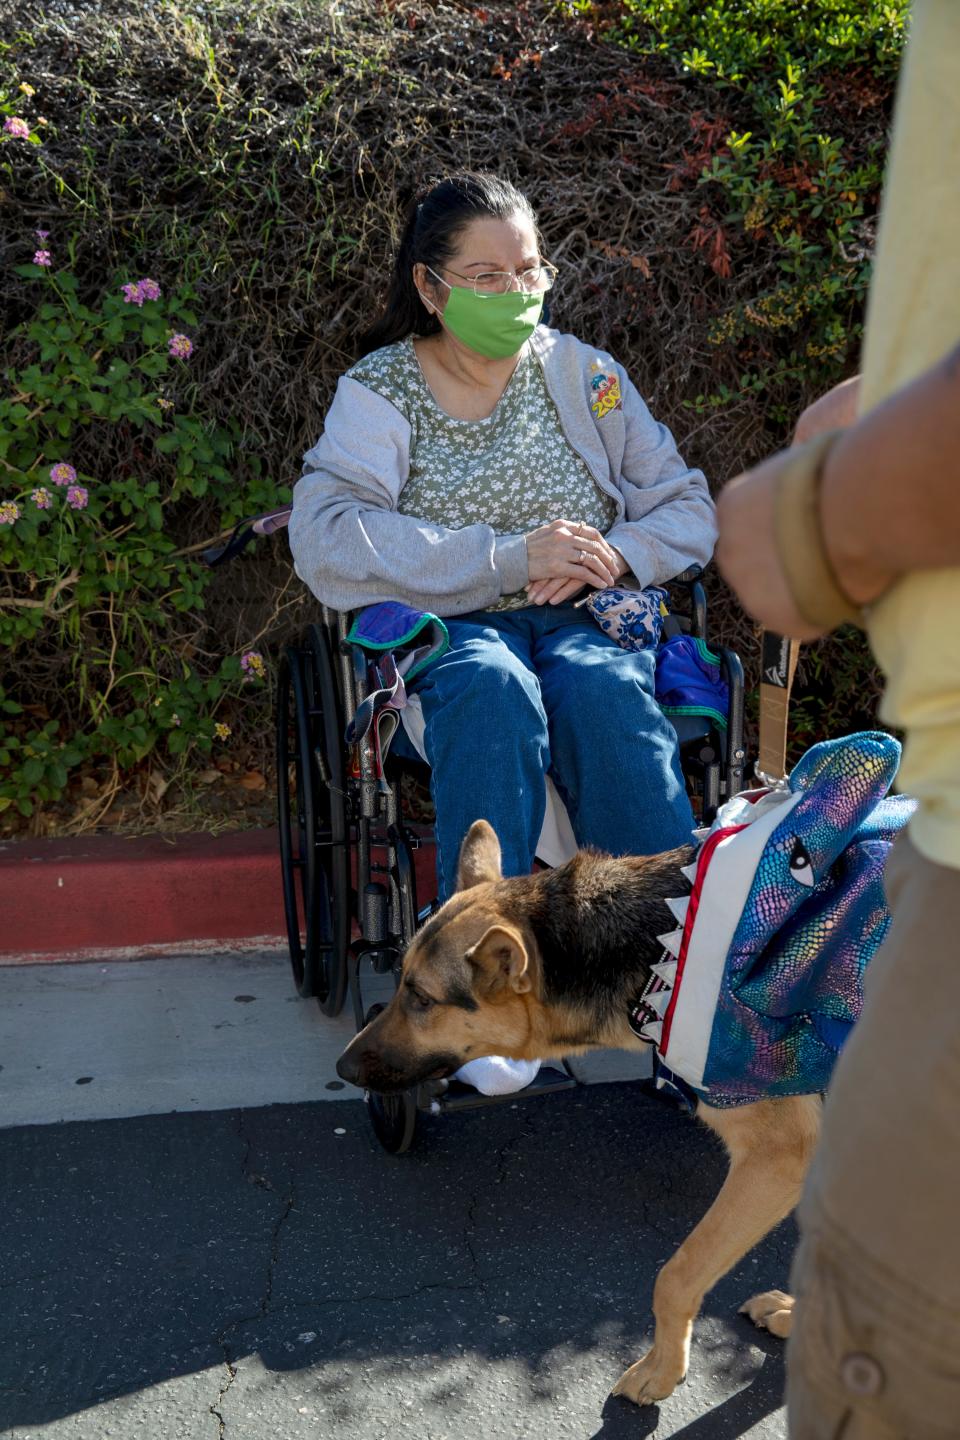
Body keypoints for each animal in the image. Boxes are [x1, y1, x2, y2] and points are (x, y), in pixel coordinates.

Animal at [338, 823, 817, 1405]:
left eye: (423, 999)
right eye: (400, 979)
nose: (342, 1067)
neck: (664, 947)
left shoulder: (777, 1159)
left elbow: (677, 1274)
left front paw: (662, 1371)